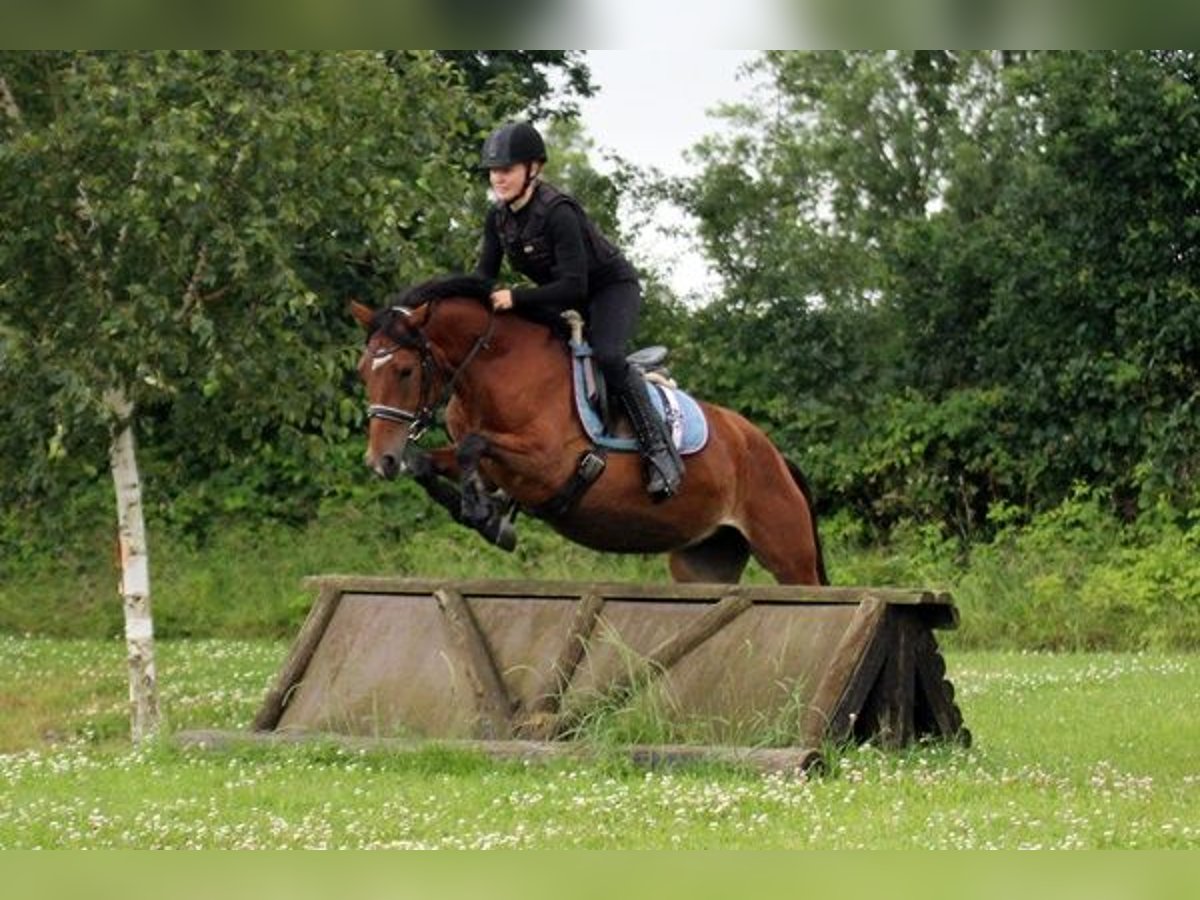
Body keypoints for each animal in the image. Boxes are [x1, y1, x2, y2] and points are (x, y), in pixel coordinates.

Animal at [350, 274, 830, 585]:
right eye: (362, 371)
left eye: (406, 370)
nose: (379, 461)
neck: (495, 372)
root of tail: (775, 456)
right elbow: (430, 463)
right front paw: (486, 515)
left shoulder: (549, 464)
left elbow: (473, 444)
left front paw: (481, 510)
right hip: (705, 560)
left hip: (789, 554)